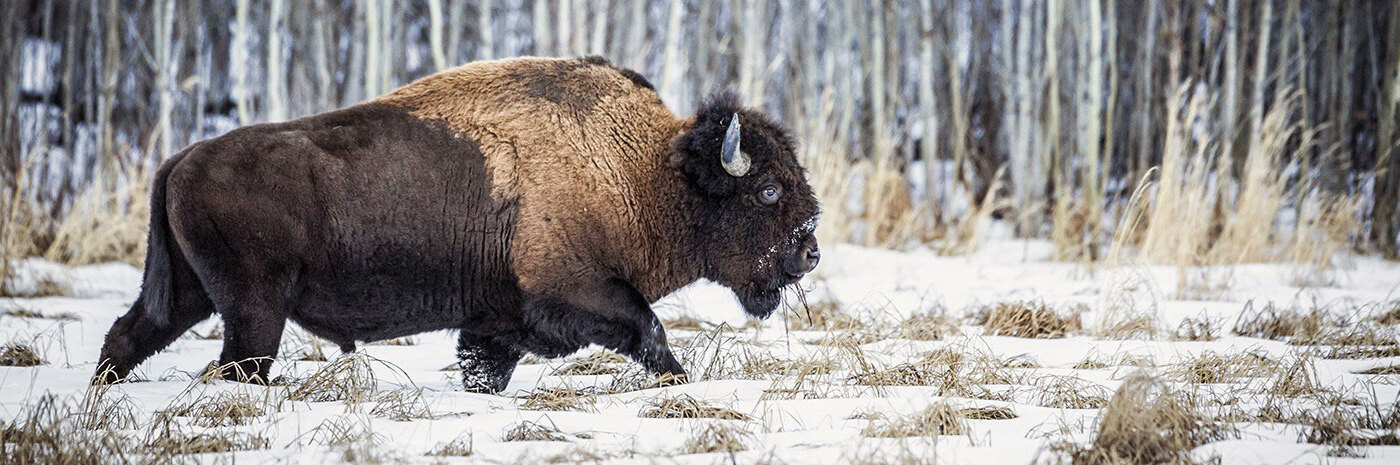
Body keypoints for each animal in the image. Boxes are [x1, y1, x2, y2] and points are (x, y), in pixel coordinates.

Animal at [95, 56, 817, 394]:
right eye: (768, 189)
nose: (809, 249)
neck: (644, 170)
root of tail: (182, 157)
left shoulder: (496, 326)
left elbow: (483, 368)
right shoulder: (577, 292)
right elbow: (652, 332)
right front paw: (681, 382)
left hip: (192, 294)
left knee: (129, 336)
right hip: (253, 308)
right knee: (237, 364)